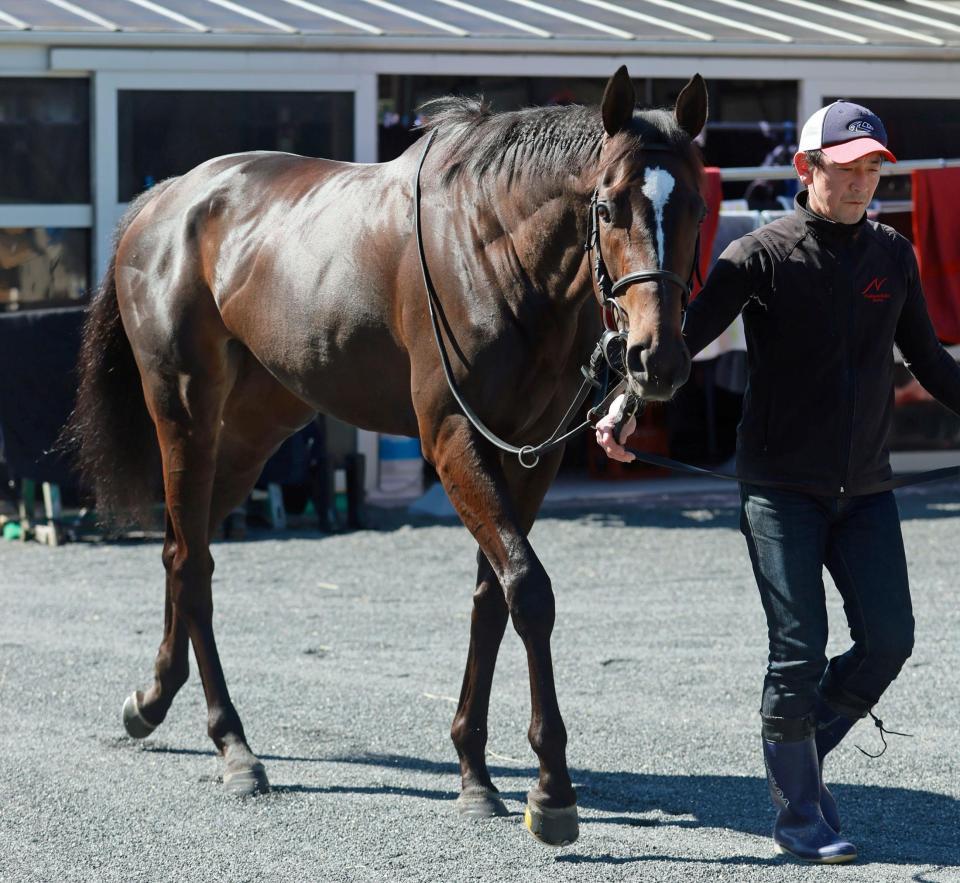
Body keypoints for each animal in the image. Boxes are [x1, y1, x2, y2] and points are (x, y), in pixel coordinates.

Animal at [69, 67, 704, 844]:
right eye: (608, 207)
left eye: (697, 206)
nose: (656, 359)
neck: (494, 245)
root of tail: (164, 200)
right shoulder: (452, 436)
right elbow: (528, 589)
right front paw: (551, 788)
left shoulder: (529, 454)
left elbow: (491, 596)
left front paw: (474, 770)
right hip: (184, 410)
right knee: (191, 562)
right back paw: (234, 747)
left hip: (254, 427)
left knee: (181, 549)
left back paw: (154, 699)